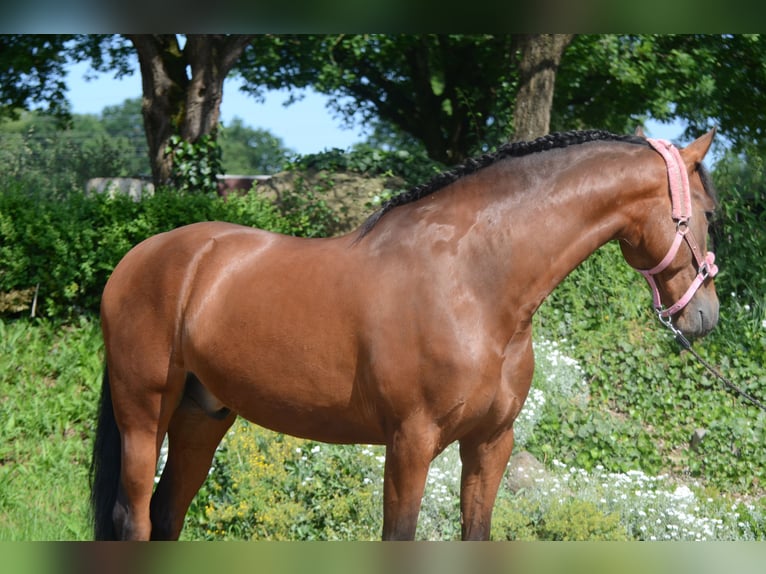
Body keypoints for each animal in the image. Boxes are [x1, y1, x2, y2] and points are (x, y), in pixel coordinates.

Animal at [90, 129, 719, 541]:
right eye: (710, 211)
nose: (704, 316)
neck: (474, 280)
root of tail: (141, 257)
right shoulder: (410, 444)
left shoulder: (490, 444)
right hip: (143, 414)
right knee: (135, 517)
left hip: (202, 417)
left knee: (167, 515)